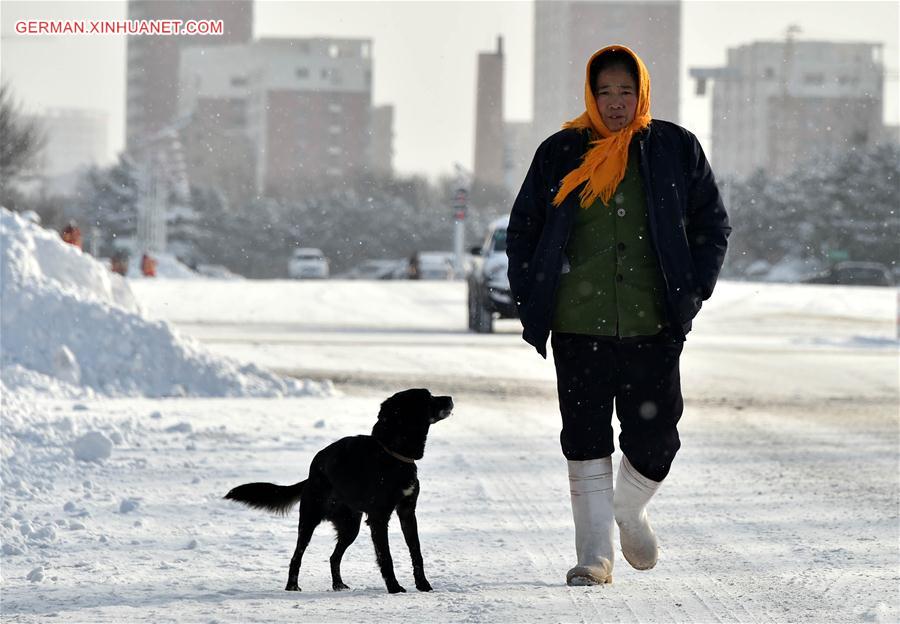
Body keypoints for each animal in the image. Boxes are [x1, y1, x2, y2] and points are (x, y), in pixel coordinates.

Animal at [223, 386, 450, 596]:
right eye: (426, 397)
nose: (450, 398)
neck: (392, 453)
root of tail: (313, 471)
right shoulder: (379, 518)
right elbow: (386, 556)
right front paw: (394, 588)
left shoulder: (407, 512)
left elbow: (416, 552)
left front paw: (423, 585)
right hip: (309, 520)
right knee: (297, 555)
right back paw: (292, 586)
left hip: (350, 527)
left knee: (334, 557)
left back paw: (338, 584)